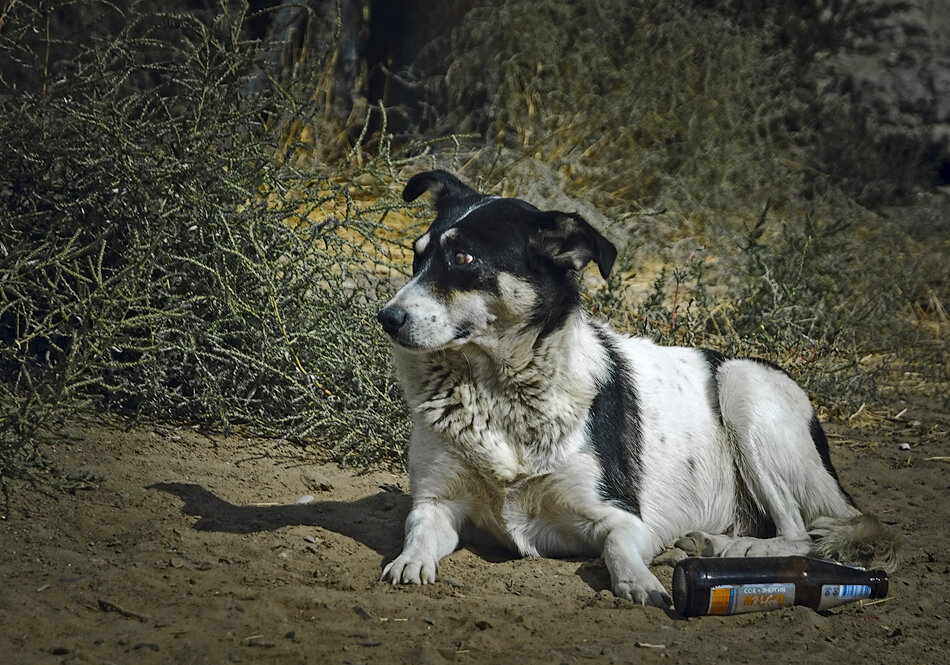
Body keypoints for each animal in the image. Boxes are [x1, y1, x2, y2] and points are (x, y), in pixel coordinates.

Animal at [378, 170, 900, 608]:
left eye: (463, 259)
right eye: (417, 255)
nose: (387, 318)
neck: (498, 389)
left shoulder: (622, 516)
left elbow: (616, 548)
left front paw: (637, 580)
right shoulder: (437, 501)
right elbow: (418, 529)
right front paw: (410, 561)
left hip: (742, 387)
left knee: (800, 532)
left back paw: (733, 546)